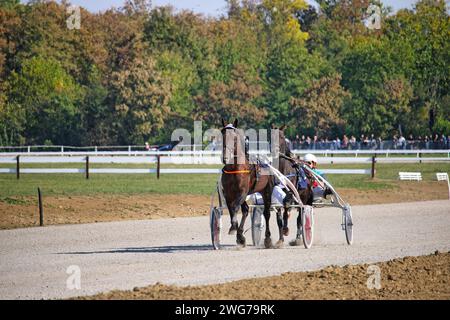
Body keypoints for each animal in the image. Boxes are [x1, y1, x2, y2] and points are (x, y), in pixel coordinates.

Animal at [220, 119, 276, 249]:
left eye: (234, 137)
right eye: (223, 135)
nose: (225, 157)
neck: (235, 168)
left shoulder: (242, 192)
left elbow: (235, 207)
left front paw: (234, 227)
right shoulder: (228, 194)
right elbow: (232, 208)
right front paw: (237, 232)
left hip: (267, 190)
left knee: (266, 213)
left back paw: (267, 238)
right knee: (245, 210)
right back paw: (240, 235)